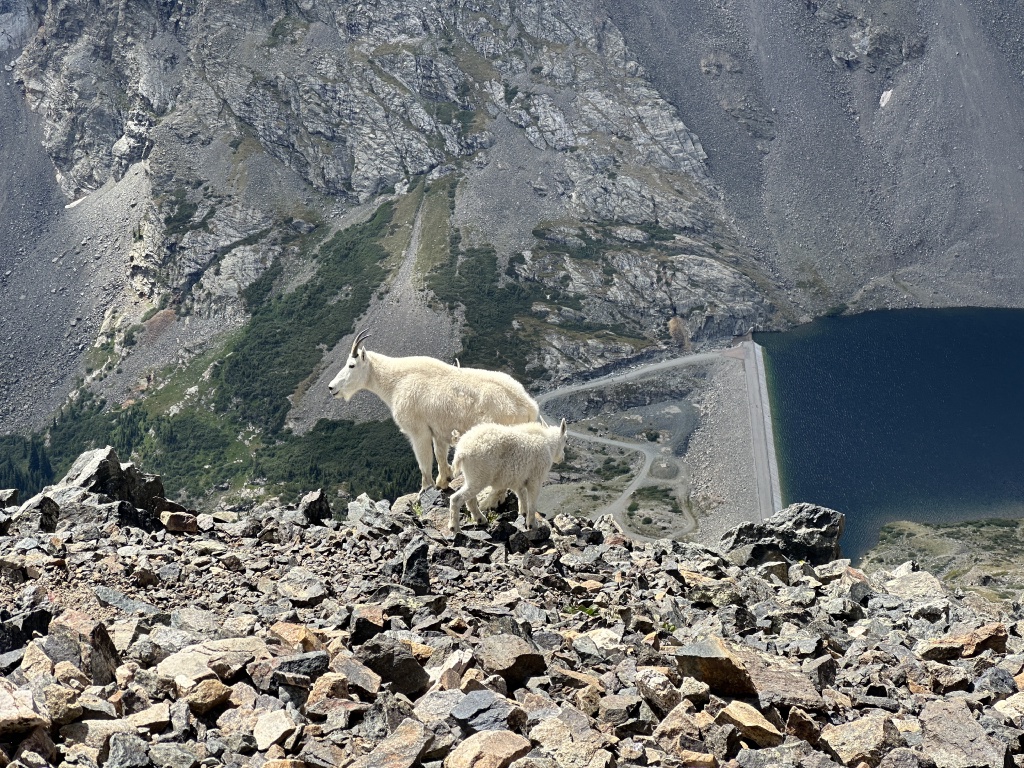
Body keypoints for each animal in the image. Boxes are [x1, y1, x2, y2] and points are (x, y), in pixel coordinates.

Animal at [328, 330, 539, 492]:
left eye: (351, 365)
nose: (331, 388)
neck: (395, 381)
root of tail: (529, 406)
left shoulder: (418, 431)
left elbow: (424, 462)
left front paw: (425, 488)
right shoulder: (438, 431)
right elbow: (439, 455)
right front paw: (443, 482)